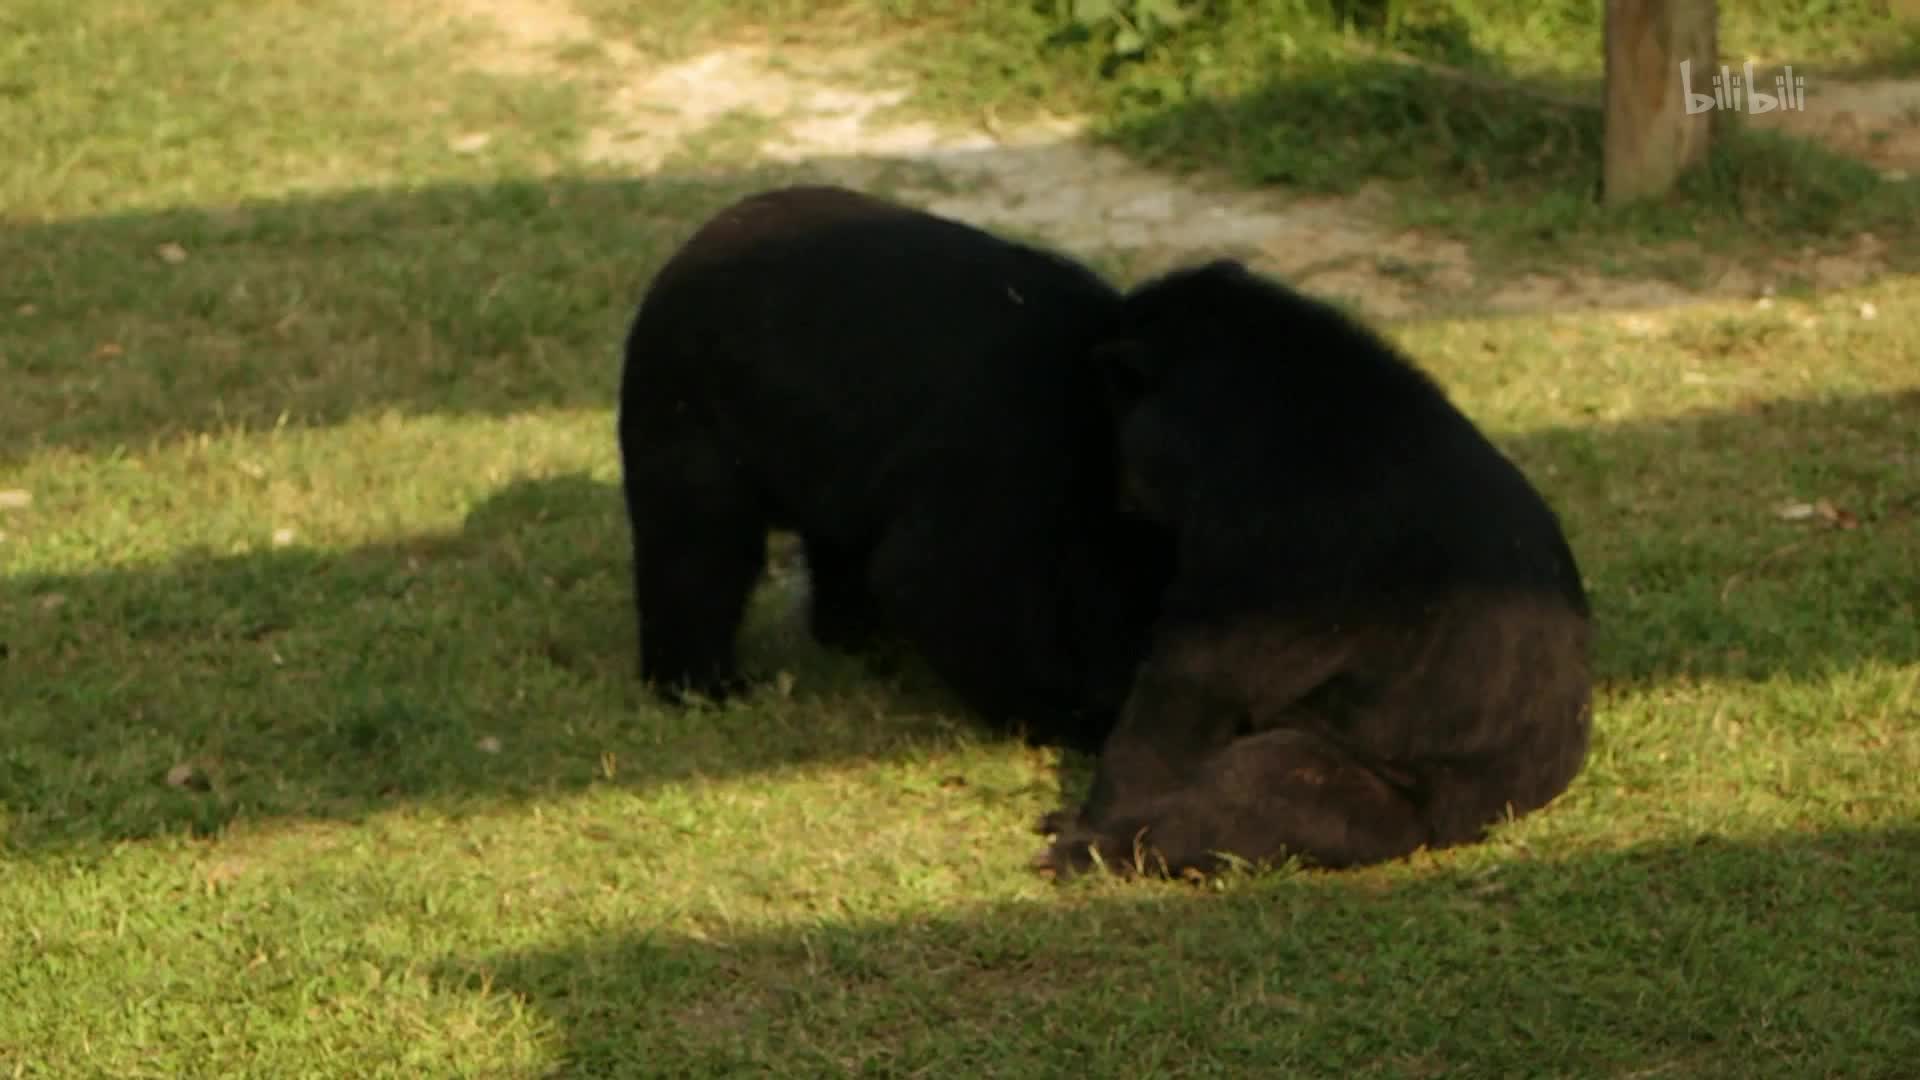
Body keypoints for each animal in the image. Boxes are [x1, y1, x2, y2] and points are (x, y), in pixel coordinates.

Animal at [622, 184, 1175, 753]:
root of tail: (683, 254)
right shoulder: (1006, 437)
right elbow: (932, 577)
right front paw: (1082, 721)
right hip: (687, 414)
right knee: (699, 549)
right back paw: (704, 687)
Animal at [1036, 259, 1589, 876]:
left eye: (1113, 405)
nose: (1116, 497)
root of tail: (1470, 824)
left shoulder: (1265, 567)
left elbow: (1178, 701)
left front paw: (1089, 827)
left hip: (1340, 777)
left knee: (1249, 791)